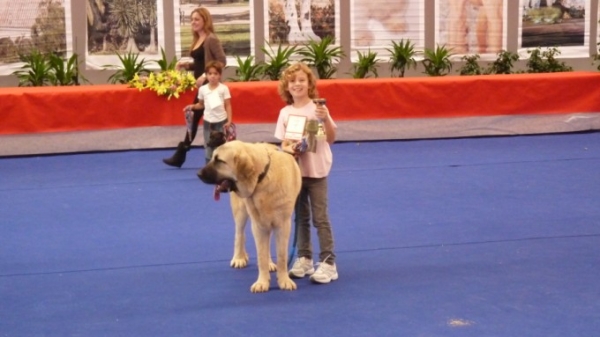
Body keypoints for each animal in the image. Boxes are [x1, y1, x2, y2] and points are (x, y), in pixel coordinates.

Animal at [198, 139, 302, 292]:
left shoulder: (282, 225)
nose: (198, 174)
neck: (262, 178)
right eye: (212, 158)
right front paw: (262, 282)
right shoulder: (258, 225)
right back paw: (238, 258)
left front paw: (284, 280)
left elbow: (281, 256)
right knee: (239, 234)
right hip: (241, 212)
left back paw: (270, 263)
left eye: (219, 160)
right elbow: (261, 256)